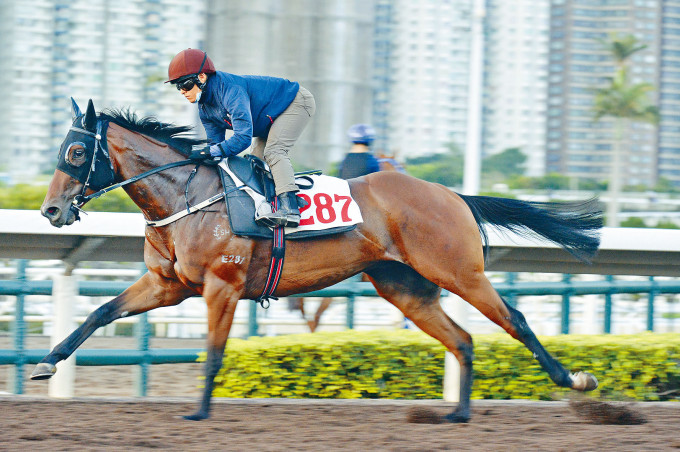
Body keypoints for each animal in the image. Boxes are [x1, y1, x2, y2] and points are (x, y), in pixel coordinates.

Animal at [33, 99, 600, 420]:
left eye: (77, 153)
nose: (51, 210)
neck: (187, 197)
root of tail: (452, 194)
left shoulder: (222, 284)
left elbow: (213, 351)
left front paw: (198, 413)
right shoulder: (168, 285)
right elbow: (99, 313)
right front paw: (46, 363)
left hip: (457, 270)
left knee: (515, 319)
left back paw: (575, 381)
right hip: (404, 287)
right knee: (462, 339)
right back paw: (457, 415)